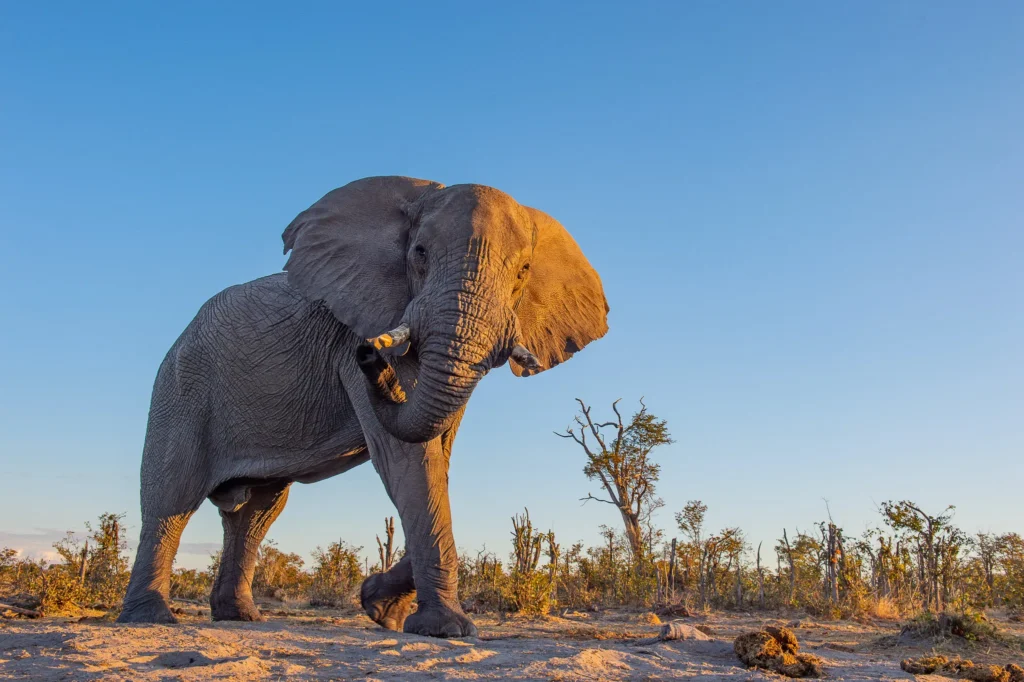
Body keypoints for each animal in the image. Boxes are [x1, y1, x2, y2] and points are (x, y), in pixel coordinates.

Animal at [116, 176, 608, 637]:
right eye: (420, 253)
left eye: (523, 271)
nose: (368, 354)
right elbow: (408, 458)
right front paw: (446, 629)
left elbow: (437, 459)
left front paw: (381, 610)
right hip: (181, 386)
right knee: (172, 498)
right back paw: (151, 619)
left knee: (256, 513)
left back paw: (240, 617)